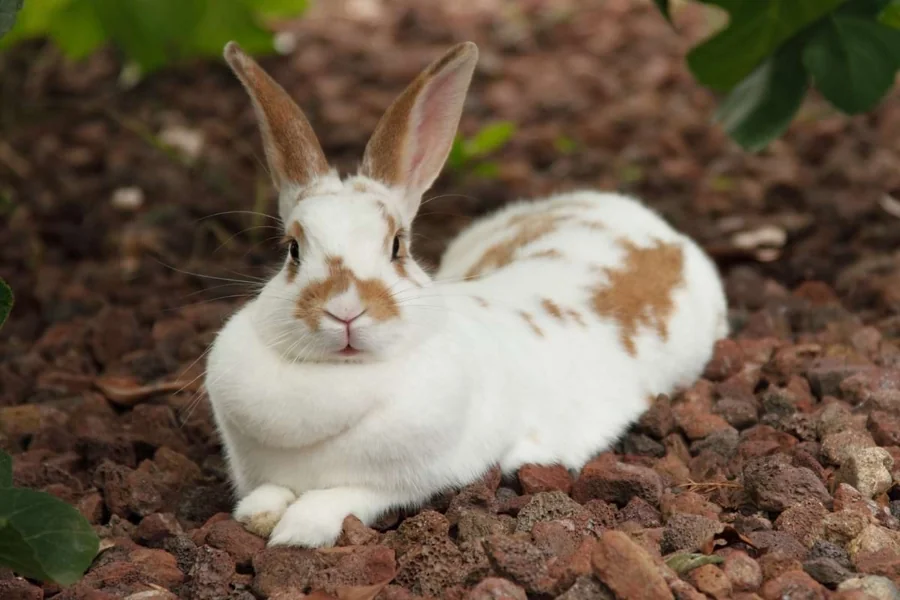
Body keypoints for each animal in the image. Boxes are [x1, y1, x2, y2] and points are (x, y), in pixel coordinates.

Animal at [205, 39, 729, 548]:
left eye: (397, 246)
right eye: (293, 250)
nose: (345, 311)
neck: (335, 379)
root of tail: (641, 220)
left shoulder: (399, 482)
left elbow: (341, 497)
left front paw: (297, 532)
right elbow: (267, 494)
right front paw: (258, 515)